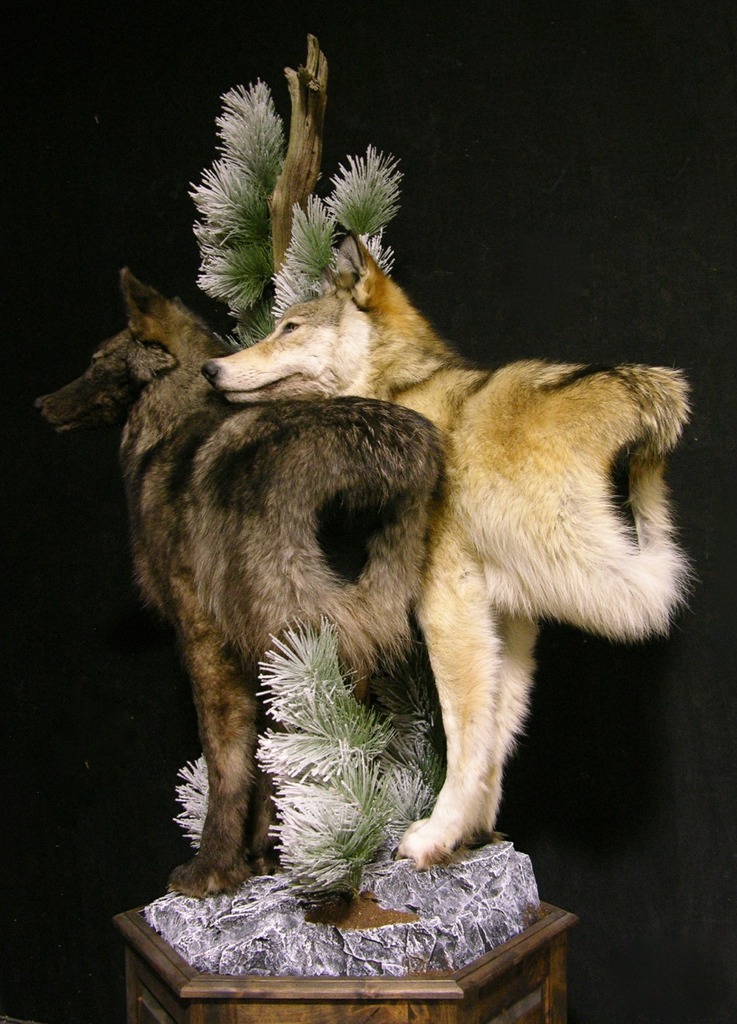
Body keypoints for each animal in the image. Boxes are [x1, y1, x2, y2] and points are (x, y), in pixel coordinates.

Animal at [35, 269, 443, 895]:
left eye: (97, 362)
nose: (42, 404)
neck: (175, 421)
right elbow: (264, 766)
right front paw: (262, 856)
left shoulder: (206, 637)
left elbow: (231, 762)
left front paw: (216, 870)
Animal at [202, 234, 691, 869]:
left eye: (290, 328)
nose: (210, 368)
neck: (401, 393)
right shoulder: (510, 621)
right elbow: (496, 737)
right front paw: (474, 831)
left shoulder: (449, 608)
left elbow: (466, 736)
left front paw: (437, 833)